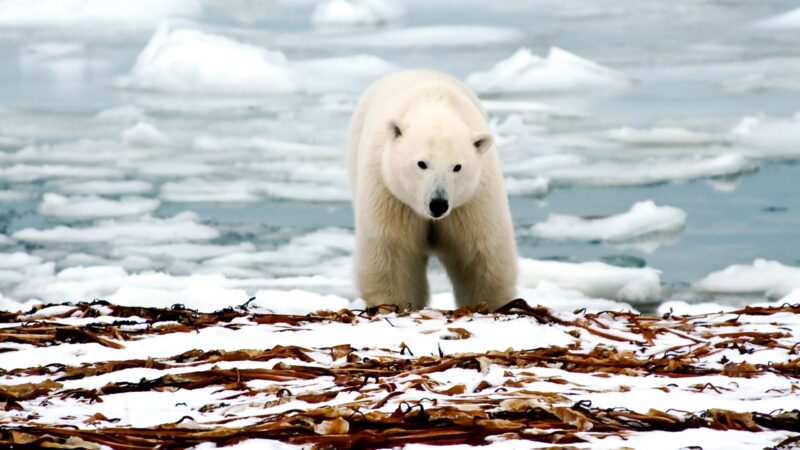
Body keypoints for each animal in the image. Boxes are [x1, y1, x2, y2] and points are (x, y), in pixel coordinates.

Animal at [350, 69, 520, 310]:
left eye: (457, 166)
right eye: (422, 163)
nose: (438, 204)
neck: (434, 106)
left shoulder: (472, 202)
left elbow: (481, 255)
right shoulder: (391, 196)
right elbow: (391, 253)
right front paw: (395, 305)